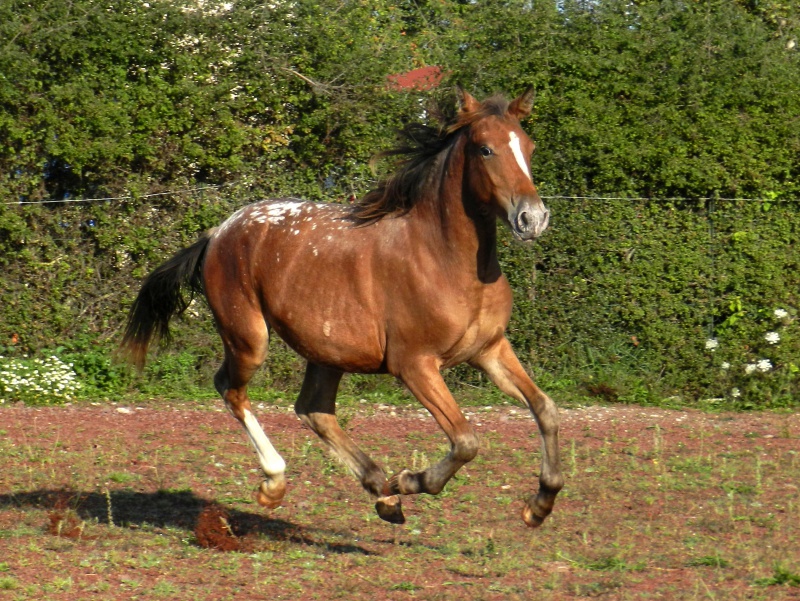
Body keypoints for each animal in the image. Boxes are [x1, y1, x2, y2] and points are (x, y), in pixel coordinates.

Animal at [122, 86, 564, 528]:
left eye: (529, 146)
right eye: (486, 149)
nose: (533, 218)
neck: (444, 259)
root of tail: (218, 232)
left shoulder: (490, 350)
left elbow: (545, 408)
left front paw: (540, 504)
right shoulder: (415, 365)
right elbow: (466, 440)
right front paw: (410, 479)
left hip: (327, 351)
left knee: (312, 409)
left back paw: (382, 493)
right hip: (249, 338)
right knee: (232, 390)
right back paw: (278, 484)